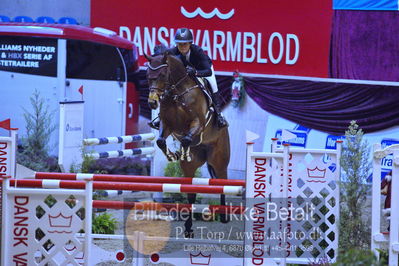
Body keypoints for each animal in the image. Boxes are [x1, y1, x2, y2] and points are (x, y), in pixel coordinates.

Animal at [145, 52, 231, 237]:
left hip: (219, 160)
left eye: (162, 75)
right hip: (190, 168)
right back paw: (188, 228)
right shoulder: (167, 125)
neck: (177, 93)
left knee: (223, 182)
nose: (152, 103)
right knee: (191, 193)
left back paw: (224, 216)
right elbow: (161, 140)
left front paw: (183, 151)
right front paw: (174, 155)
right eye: (147, 76)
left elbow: (186, 138)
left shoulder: (197, 123)